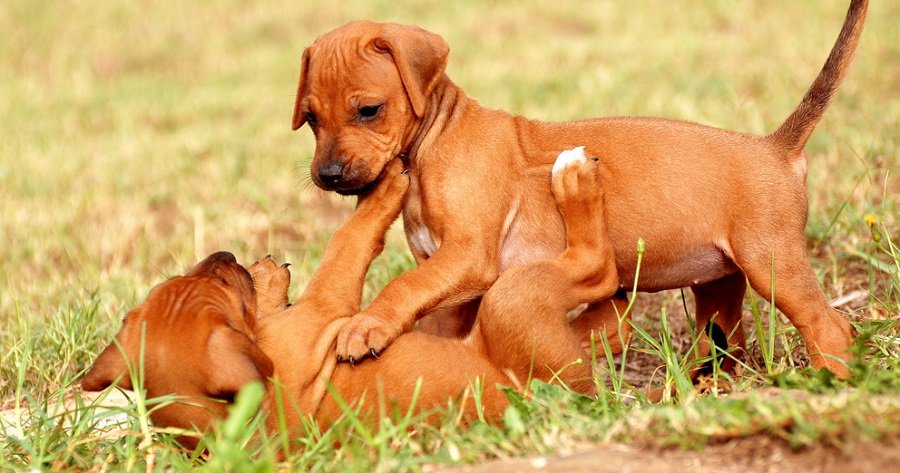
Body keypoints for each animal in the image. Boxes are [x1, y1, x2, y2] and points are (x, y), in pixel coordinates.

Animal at [81, 155, 624, 446]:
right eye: (220, 288)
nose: (225, 256)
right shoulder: (325, 308)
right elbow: (347, 241)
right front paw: (384, 188)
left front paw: (265, 279)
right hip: (515, 303)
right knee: (596, 272)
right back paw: (576, 181)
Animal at [292, 0, 868, 376]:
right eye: (311, 119)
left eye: (369, 110)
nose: (329, 176)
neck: (434, 139)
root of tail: (776, 146)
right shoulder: (450, 280)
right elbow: (430, 313)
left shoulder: (467, 258)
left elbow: (402, 287)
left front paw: (365, 326)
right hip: (718, 285)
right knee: (726, 345)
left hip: (771, 263)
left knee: (830, 328)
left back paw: (830, 383)